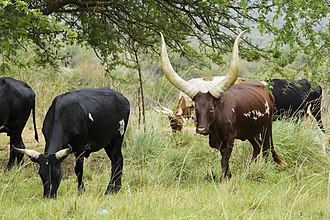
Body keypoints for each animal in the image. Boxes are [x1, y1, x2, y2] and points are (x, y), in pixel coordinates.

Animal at [160, 31, 286, 182]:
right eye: (196, 109)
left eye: (211, 109)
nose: (201, 129)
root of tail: (266, 89)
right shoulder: (217, 141)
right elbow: (223, 157)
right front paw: (229, 175)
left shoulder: (230, 138)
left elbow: (225, 158)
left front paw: (224, 178)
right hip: (250, 130)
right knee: (258, 145)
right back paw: (249, 168)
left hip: (266, 127)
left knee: (266, 148)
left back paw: (262, 169)